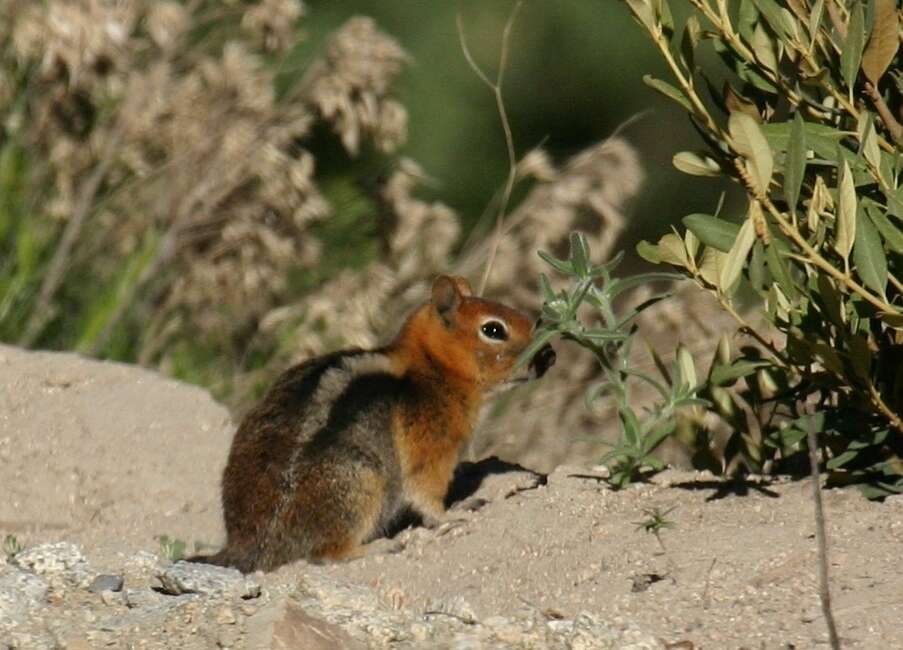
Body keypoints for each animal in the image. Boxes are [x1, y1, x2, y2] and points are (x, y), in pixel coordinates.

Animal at [195, 276, 556, 568]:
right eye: (493, 329)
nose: (550, 355)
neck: (433, 366)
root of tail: (250, 546)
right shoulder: (431, 438)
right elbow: (426, 488)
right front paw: (455, 511)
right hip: (362, 482)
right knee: (326, 553)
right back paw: (379, 547)